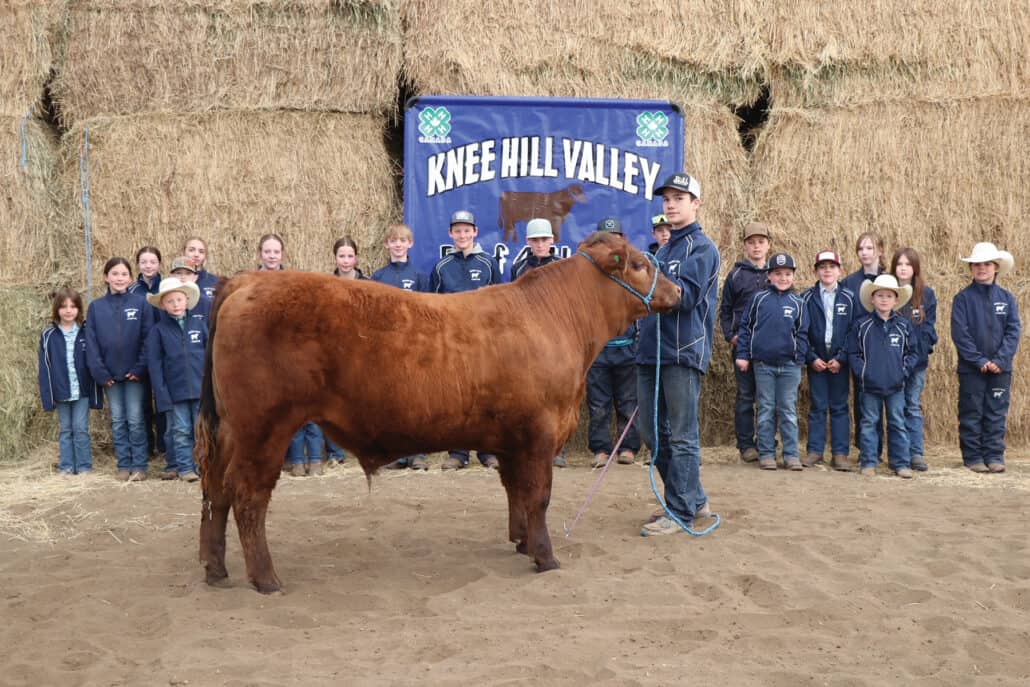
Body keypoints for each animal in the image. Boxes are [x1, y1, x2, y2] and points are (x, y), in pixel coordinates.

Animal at [194, 232, 681, 593]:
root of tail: (246, 282)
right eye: (640, 264)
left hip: (233, 429)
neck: (553, 318)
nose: (678, 290)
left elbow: (516, 493)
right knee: (248, 496)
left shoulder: (511, 439)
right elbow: (538, 495)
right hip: (264, 427)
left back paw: (215, 569)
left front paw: (521, 541)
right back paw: (266, 578)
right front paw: (545, 557)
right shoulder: (540, 432)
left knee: (215, 489)